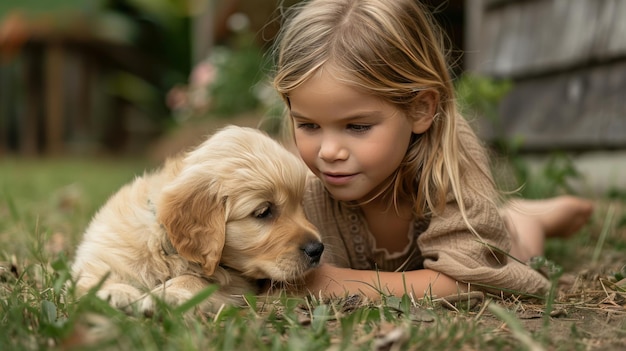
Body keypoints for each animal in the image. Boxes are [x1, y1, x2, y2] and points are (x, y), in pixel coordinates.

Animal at [70, 126, 322, 316]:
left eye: (300, 206)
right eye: (264, 212)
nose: (318, 249)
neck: (167, 249)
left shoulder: (237, 285)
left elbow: (195, 280)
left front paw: (168, 294)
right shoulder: (103, 256)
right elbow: (99, 276)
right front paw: (114, 292)